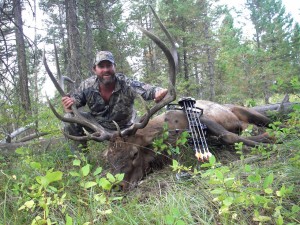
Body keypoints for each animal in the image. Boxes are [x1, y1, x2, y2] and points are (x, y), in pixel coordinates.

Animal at [43, 7, 276, 190]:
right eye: (107, 158)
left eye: (134, 154)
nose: (116, 186)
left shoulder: (203, 120)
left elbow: (230, 136)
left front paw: (267, 139)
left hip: (246, 110)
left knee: (268, 120)